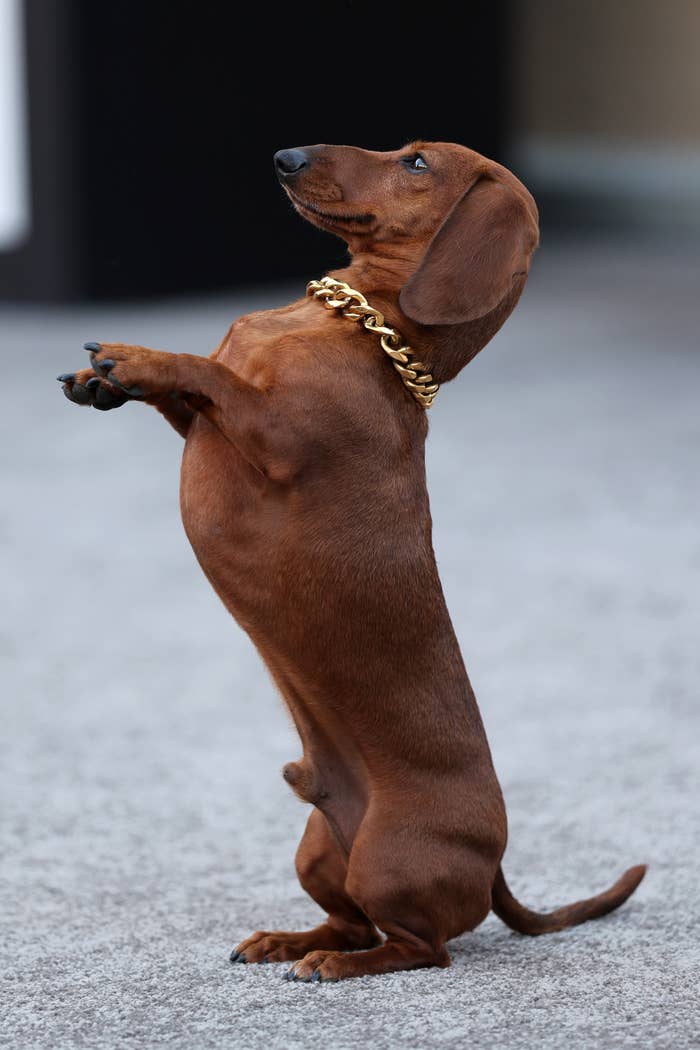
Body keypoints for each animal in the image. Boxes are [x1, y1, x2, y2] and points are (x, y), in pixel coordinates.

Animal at [58, 141, 646, 982]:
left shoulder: (272, 435)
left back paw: (332, 967)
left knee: (419, 948)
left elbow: (209, 375)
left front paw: (137, 358)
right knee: (348, 922)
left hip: (386, 862)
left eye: (417, 162)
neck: (357, 326)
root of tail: (495, 863)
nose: (286, 155)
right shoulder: (200, 425)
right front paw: (99, 384)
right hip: (317, 852)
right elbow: (189, 393)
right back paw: (286, 941)